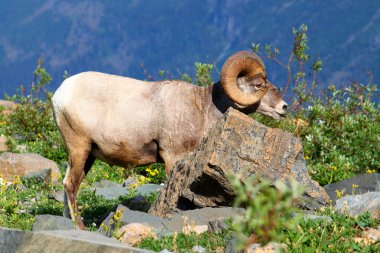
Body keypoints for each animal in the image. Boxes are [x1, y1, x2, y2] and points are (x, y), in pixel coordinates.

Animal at [51, 50, 288, 228]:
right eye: (258, 85)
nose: (284, 108)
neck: (202, 108)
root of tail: (59, 95)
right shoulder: (173, 157)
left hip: (87, 155)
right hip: (79, 147)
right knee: (71, 184)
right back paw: (80, 227)